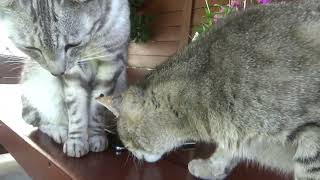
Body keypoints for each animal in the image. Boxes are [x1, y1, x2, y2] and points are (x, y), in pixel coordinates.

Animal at [0, 0, 130, 158]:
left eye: (72, 45)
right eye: (32, 48)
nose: (58, 73)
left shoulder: (111, 66)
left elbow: (97, 110)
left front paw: (96, 136)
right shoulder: (73, 74)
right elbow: (77, 111)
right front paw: (76, 141)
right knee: (35, 118)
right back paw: (60, 131)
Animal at [98, 0, 320, 179]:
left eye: (128, 142)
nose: (133, 155)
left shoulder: (312, 139)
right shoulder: (238, 135)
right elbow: (225, 152)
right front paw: (210, 168)